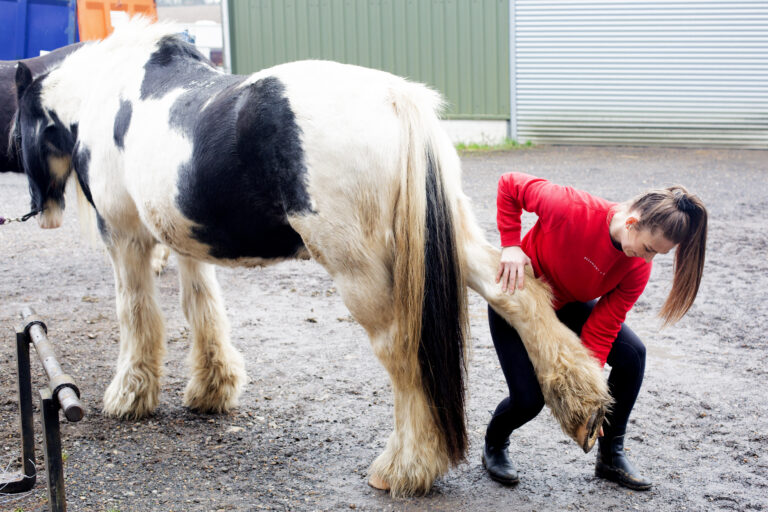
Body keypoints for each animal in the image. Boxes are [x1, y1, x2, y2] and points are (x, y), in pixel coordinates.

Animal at [12, 21, 608, 496]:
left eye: (16, 119)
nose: (39, 208)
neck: (114, 92)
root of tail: (397, 99)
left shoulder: (125, 237)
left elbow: (136, 314)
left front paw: (130, 395)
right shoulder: (187, 242)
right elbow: (201, 308)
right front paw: (212, 388)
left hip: (361, 273)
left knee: (402, 353)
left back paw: (405, 467)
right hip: (453, 238)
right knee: (516, 292)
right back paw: (582, 403)